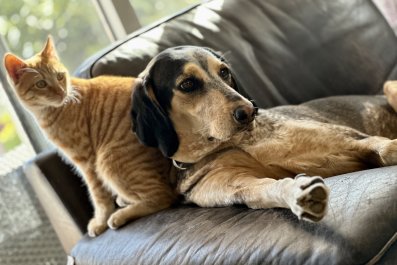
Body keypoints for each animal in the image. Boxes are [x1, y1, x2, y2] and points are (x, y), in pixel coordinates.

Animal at [3, 36, 176, 236]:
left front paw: (100, 222)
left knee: (163, 197)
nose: (61, 92)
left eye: (59, 76)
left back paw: (119, 215)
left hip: (107, 160)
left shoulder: (87, 162)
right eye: (41, 84)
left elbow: (98, 197)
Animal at [131, 46, 396, 221]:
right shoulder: (242, 187)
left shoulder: (352, 138)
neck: (235, 143)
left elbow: (384, 147)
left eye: (224, 72)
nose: (250, 111)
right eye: (187, 84)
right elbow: (272, 187)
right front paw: (299, 194)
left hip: (388, 87)